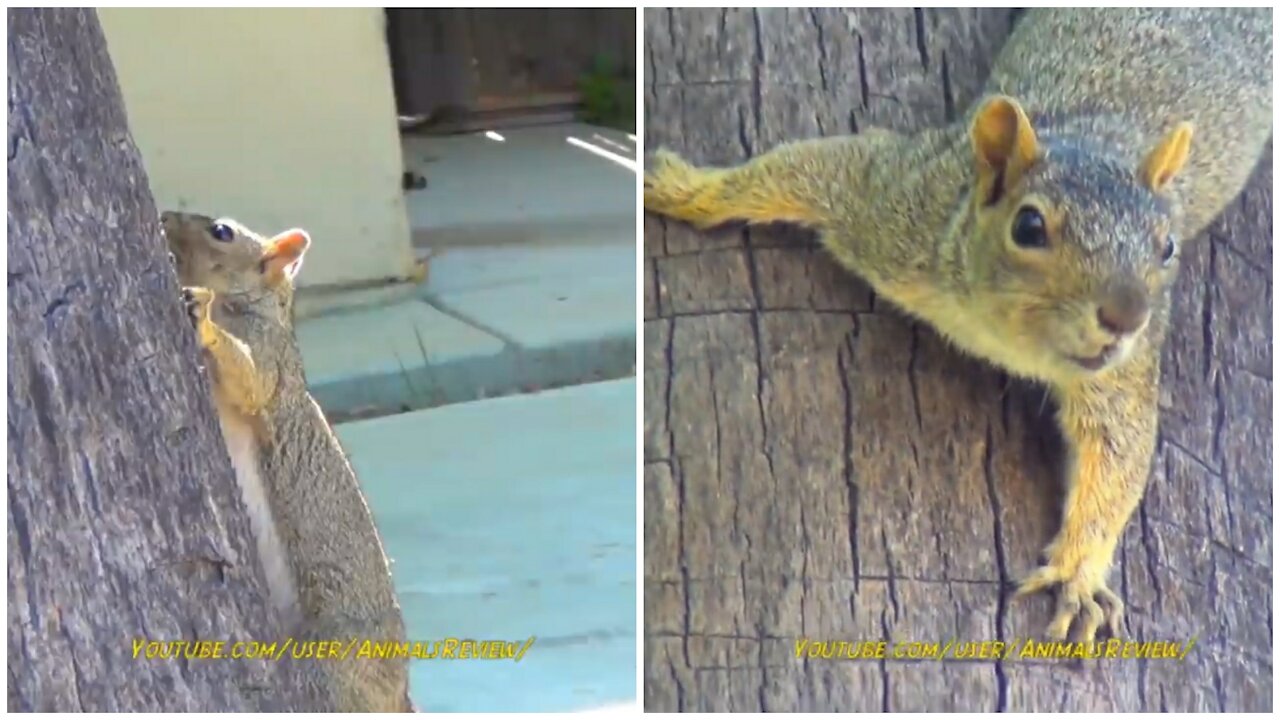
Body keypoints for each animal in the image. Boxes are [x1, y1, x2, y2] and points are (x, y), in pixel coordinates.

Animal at [163, 210, 414, 707]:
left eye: (222, 232)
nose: (162, 218)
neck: (248, 304)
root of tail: (398, 692)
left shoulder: (269, 356)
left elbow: (252, 382)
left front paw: (201, 316)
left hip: (336, 660)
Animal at [645, 7, 1274, 638]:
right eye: (1028, 227)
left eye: (1168, 246)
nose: (1126, 317)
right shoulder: (895, 203)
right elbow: (803, 170)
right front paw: (685, 189)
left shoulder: (1122, 372)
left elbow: (1117, 459)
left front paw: (1079, 576)